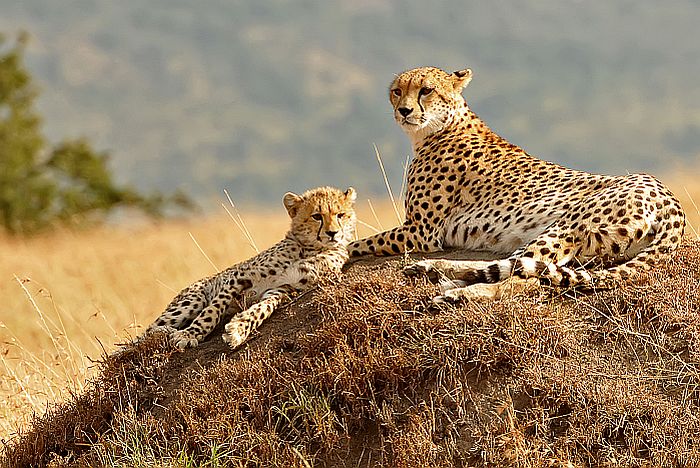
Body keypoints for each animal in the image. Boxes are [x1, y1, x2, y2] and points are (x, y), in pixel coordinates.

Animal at [146, 186, 356, 348]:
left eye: (341, 215)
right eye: (316, 216)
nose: (333, 233)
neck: (310, 249)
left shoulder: (284, 289)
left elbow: (262, 308)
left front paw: (239, 328)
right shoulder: (239, 277)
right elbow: (212, 309)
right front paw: (190, 334)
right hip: (194, 298)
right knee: (147, 331)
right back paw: (165, 330)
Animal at [350, 66, 684, 300]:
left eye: (426, 90)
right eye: (397, 91)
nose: (404, 110)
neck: (440, 127)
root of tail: (670, 199)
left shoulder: (421, 232)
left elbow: (358, 242)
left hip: (566, 227)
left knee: (522, 274)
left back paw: (450, 284)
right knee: (530, 273)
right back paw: (444, 278)